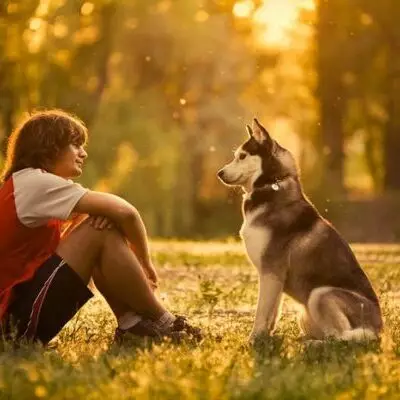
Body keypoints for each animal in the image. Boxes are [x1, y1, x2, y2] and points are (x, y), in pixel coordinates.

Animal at [217, 118, 382, 340]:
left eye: (242, 156)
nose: (219, 173)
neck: (271, 184)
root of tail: (379, 328)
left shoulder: (271, 271)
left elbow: (261, 312)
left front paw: (253, 339)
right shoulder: (274, 278)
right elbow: (272, 312)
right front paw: (266, 337)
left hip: (320, 293)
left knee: (339, 337)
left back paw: (313, 344)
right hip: (304, 315)